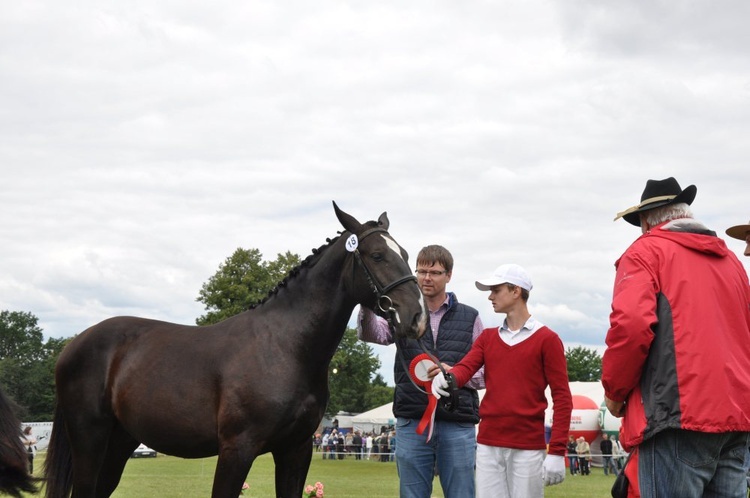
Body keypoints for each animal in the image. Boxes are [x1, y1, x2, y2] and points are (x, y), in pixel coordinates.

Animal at [44, 203, 426, 498]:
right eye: (377, 255)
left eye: (407, 256)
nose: (417, 316)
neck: (285, 347)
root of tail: (73, 345)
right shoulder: (236, 450)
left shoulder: (296, 450)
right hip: (89, 441)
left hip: (119, 444)